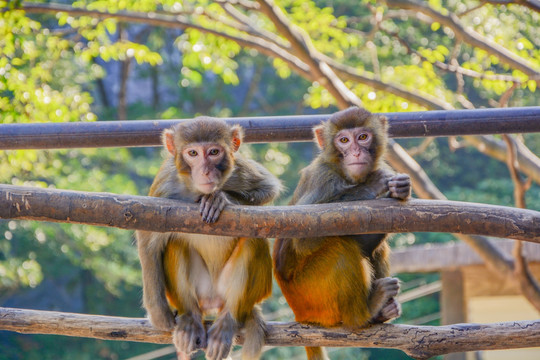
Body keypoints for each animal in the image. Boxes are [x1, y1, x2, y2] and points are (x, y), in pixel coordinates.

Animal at [136, 116, 282, 358]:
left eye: (214, 152)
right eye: (193, 153)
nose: (205, 171)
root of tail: (213, 301)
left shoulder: (239, 169)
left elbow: (268, 188)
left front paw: (220, 198)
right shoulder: (165, 184)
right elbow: (149, 238)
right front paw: (157, 312)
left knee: (252, 240)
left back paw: (228, 321)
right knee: (175, 243)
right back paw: (190, 319)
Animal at [274, 107, 410, 360]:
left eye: (363, 137)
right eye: (344, 140)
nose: (356, 152)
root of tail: (299, 314)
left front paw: (401, 190)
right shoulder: (323, 180)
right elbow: (303, 238)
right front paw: (372, 186)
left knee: (374, 248)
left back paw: (382, 311)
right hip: (312, 294)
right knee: (340, 248)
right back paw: (364, 314)